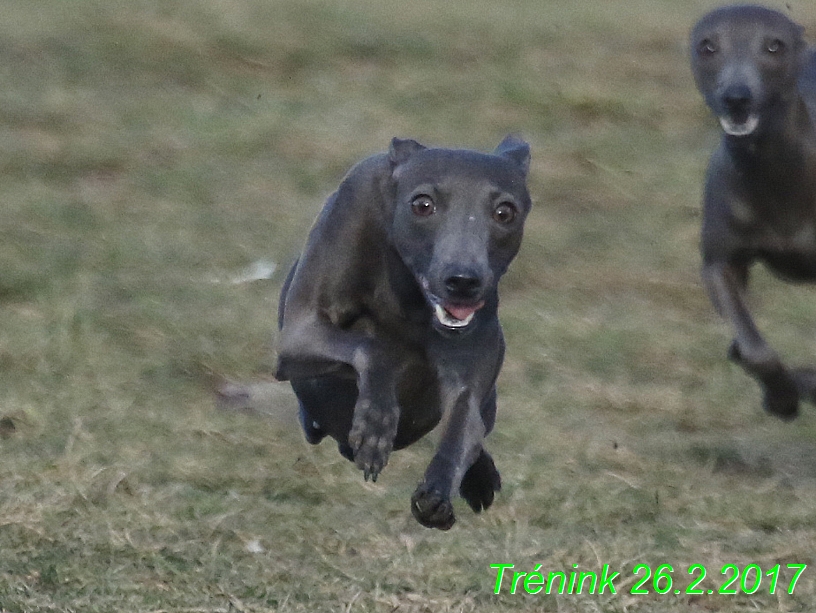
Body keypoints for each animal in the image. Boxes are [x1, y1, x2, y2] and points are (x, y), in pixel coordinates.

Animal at [274, 137, 532, 524]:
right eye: (422, 204)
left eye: (505, 212)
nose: (463, 281)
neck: (409, 304)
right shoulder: (298, 336)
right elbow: (373, 347)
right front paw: (375, 423)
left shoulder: (469, 378)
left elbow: (463, 422)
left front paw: (436, 493)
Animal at [692, 4, 816, 418]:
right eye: (707, 45)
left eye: (774, 45)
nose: (736, 97)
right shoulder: (721, 262)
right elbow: (752, 349)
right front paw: (783, 395)